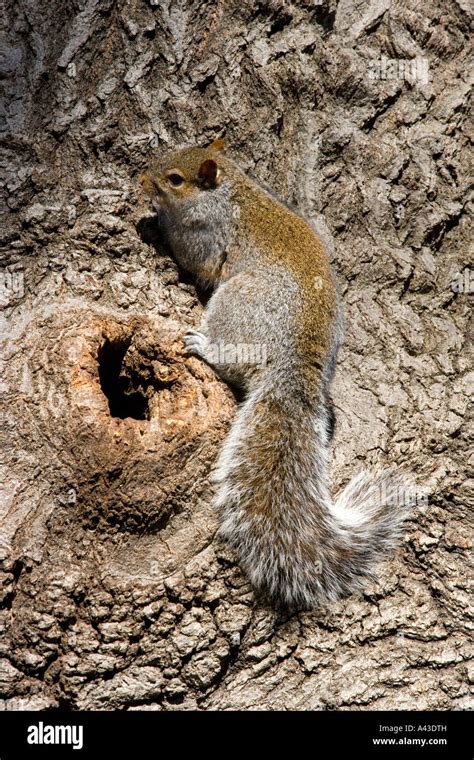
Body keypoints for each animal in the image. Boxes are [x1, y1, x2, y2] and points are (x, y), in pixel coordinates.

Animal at [139, 140, 410, 608]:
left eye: (174, 179)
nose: (140, 179)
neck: (230, 191)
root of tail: (293, 360)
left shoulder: (206, 234)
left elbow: (194, 258)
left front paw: (156, 224)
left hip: (238, 301)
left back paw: (205, 346)